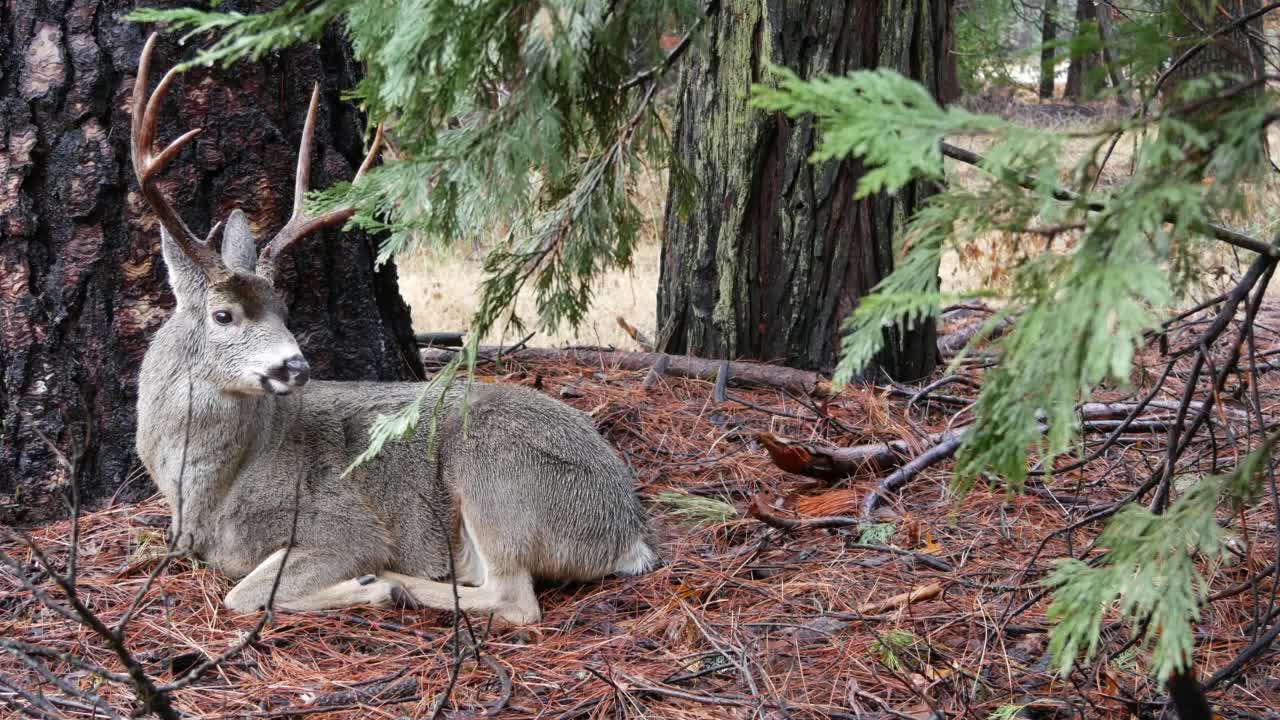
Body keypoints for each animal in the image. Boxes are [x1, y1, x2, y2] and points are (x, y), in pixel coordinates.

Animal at [129, 35, 655, 622]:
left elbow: (243, 594)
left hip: (497, 475)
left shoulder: (341, 523)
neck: (207, 494)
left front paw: (366, 582)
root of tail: (626, 528)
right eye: (224, 315)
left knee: (515, 600)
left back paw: (397, 584)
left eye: (285, 312)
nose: (296, 365)